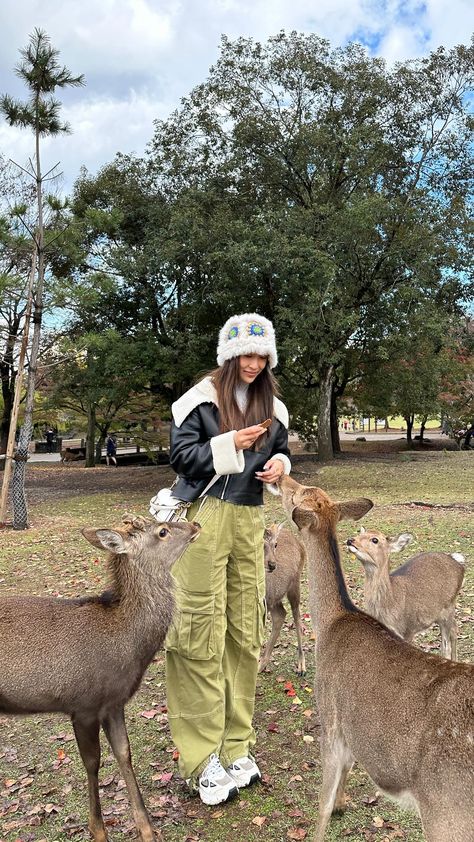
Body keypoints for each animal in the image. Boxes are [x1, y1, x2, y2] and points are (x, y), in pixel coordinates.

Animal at [0, 512, 200, 840]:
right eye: (162, 531)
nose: (195, 525)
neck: (126, 646)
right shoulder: (84, 705)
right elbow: (92, 762)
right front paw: (98, 829)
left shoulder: (113, 703)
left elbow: (124, 753)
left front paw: (147, 829)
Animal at [260, 520, 308, 672]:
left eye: (275, 544)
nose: (272, 565)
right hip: (275, 599)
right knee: (281, 614)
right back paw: (262, 664)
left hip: (295, 584)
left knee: (296, 616)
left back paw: (301, 665)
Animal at [346, 524, 464, 656]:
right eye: (360, 533)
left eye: (375, 540)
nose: (350, 540)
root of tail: (459, 564)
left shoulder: (408, 629)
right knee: (454, 629)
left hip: (448, 607)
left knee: (446, 646)